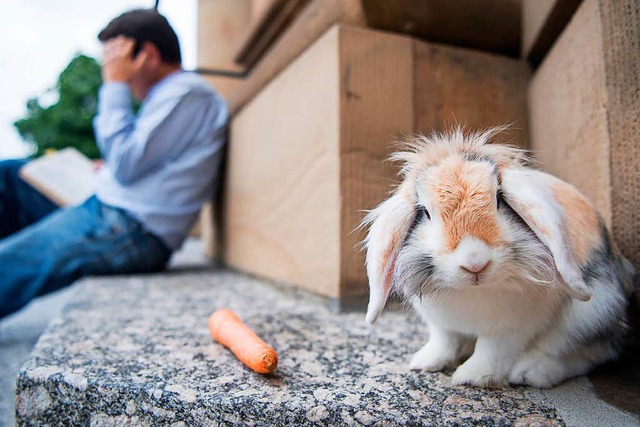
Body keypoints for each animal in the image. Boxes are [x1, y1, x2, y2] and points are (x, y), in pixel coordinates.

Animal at [362, 127, 636, 388]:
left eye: (498, 200)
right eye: (426, 213)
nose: (475, 263)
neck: (474, 291)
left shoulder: (510, 329)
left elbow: (492, 352)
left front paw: (472, 377)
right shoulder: (442, 325)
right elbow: (445, 341)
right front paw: (425, 363)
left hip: (591, 313)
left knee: (589, 353)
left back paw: (532, 373)